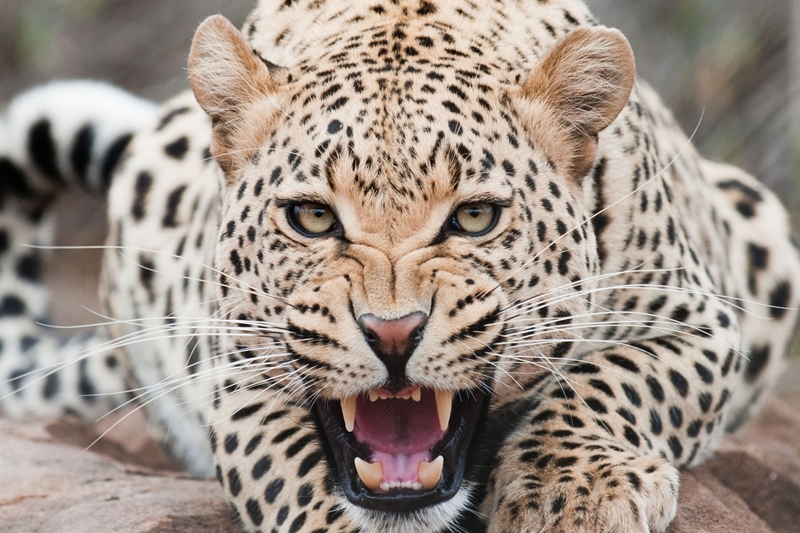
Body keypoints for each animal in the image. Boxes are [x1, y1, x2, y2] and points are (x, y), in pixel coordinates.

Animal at [1, 1, 798, 532]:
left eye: (474, 218)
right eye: (311, 218)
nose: (392, 334)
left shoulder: (698, 320)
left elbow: (615, 380)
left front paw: (574, 492)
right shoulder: (238, 379)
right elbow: (294, 482)